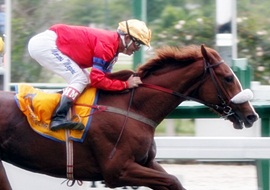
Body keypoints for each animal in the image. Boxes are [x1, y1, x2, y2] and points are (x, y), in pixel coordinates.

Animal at [0, 45, 258, 190]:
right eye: (227, 77)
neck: (135, 108)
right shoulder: (118, 170)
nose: (251, 115)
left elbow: (174, 181)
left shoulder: (145, 163)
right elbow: (173, 180)